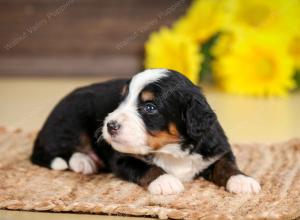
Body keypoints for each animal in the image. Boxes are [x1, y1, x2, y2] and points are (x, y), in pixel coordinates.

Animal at [29, 69, 260, 194]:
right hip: (69, 120)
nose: (110, 125)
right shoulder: (122, 157)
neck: (172, 149)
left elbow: (226, 164)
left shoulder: (217, 147)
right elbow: (146, 167)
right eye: (121, 100)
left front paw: (242, 180)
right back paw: (83, 161)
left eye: (149, 107)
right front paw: (165, 181)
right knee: (56, 150)